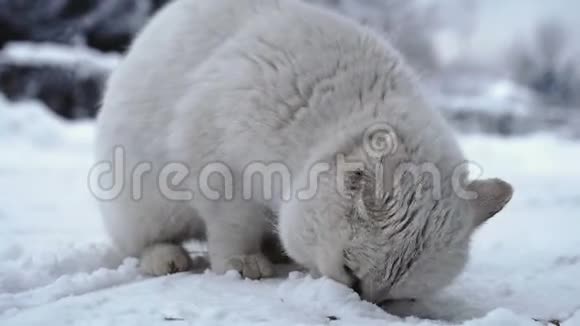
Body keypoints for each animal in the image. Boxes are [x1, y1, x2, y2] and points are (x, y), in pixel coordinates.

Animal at [95, 0, 512, 304]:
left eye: (393, 296)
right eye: (349, 272)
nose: (363, 302)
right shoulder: (218, 168)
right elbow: (233, 228)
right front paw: (243, 263)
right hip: (144, 205)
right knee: (137, 243)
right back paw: (166, 257)